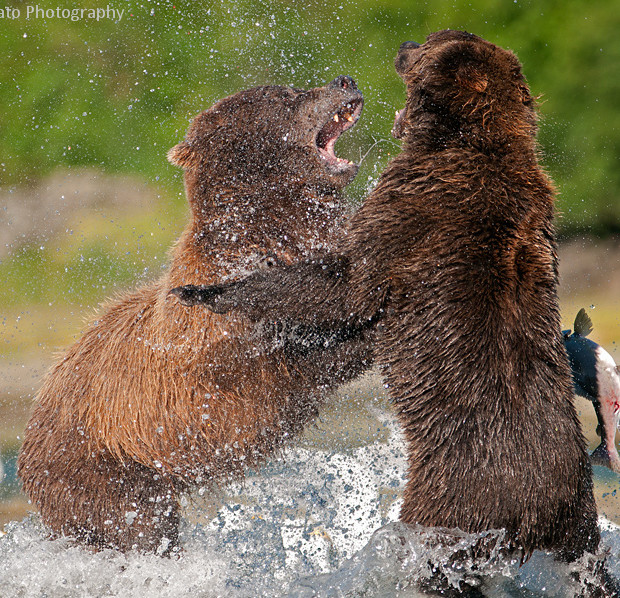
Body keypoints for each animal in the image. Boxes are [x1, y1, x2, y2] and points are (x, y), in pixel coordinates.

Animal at [18, 77, 372, 556]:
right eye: (284, 95)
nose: (344, 82)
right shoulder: (222, 345)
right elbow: (293, 367)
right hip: (100, 469)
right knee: (136, 528)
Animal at [171, 29, 616, 592]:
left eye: (431, 42)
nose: (404, 44)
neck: (469, 142)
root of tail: (540, 514)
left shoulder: (414, 211)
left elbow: (344, 285)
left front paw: (206, 291)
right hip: (576, 521)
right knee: (587, 564)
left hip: (454, 499)